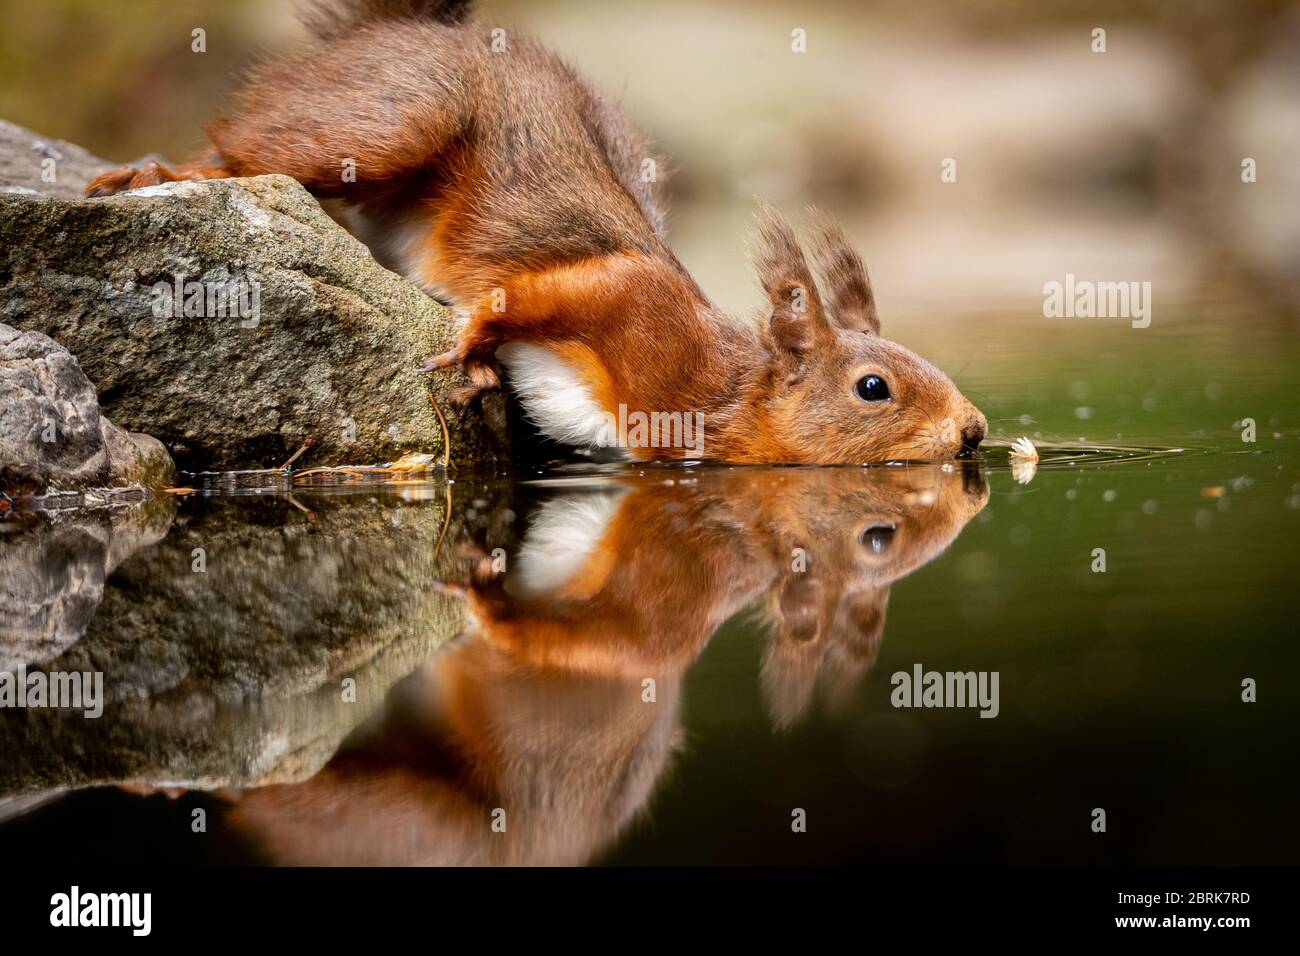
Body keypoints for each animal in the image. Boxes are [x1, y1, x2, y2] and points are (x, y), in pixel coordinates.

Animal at [89, 0, 982, 463]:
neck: (727, 390)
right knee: (246, 146)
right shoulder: (640, 302)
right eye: (874, 388)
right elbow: (532, 295)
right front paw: (473, 340)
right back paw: (162, 172)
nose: (974, 431)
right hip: (389, 118)